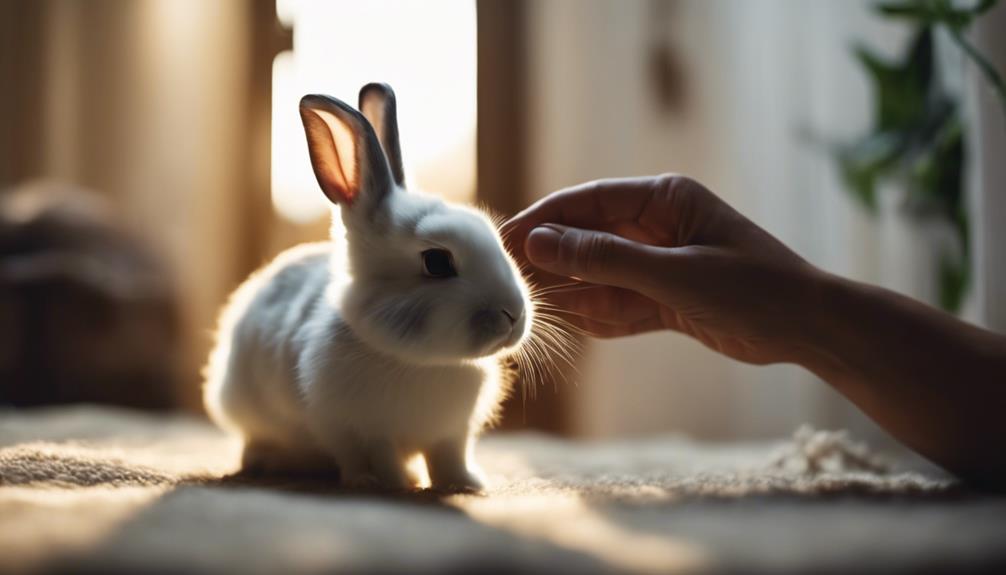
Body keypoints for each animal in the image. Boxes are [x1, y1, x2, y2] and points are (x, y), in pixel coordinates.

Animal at [203, 83, 531, 492]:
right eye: (437, 263)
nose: (514, 315)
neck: (422, 362)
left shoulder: (452, 434)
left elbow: (449, 458)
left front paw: (465, 484)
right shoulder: (356, 429)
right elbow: (373, 455)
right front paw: (386, 483)